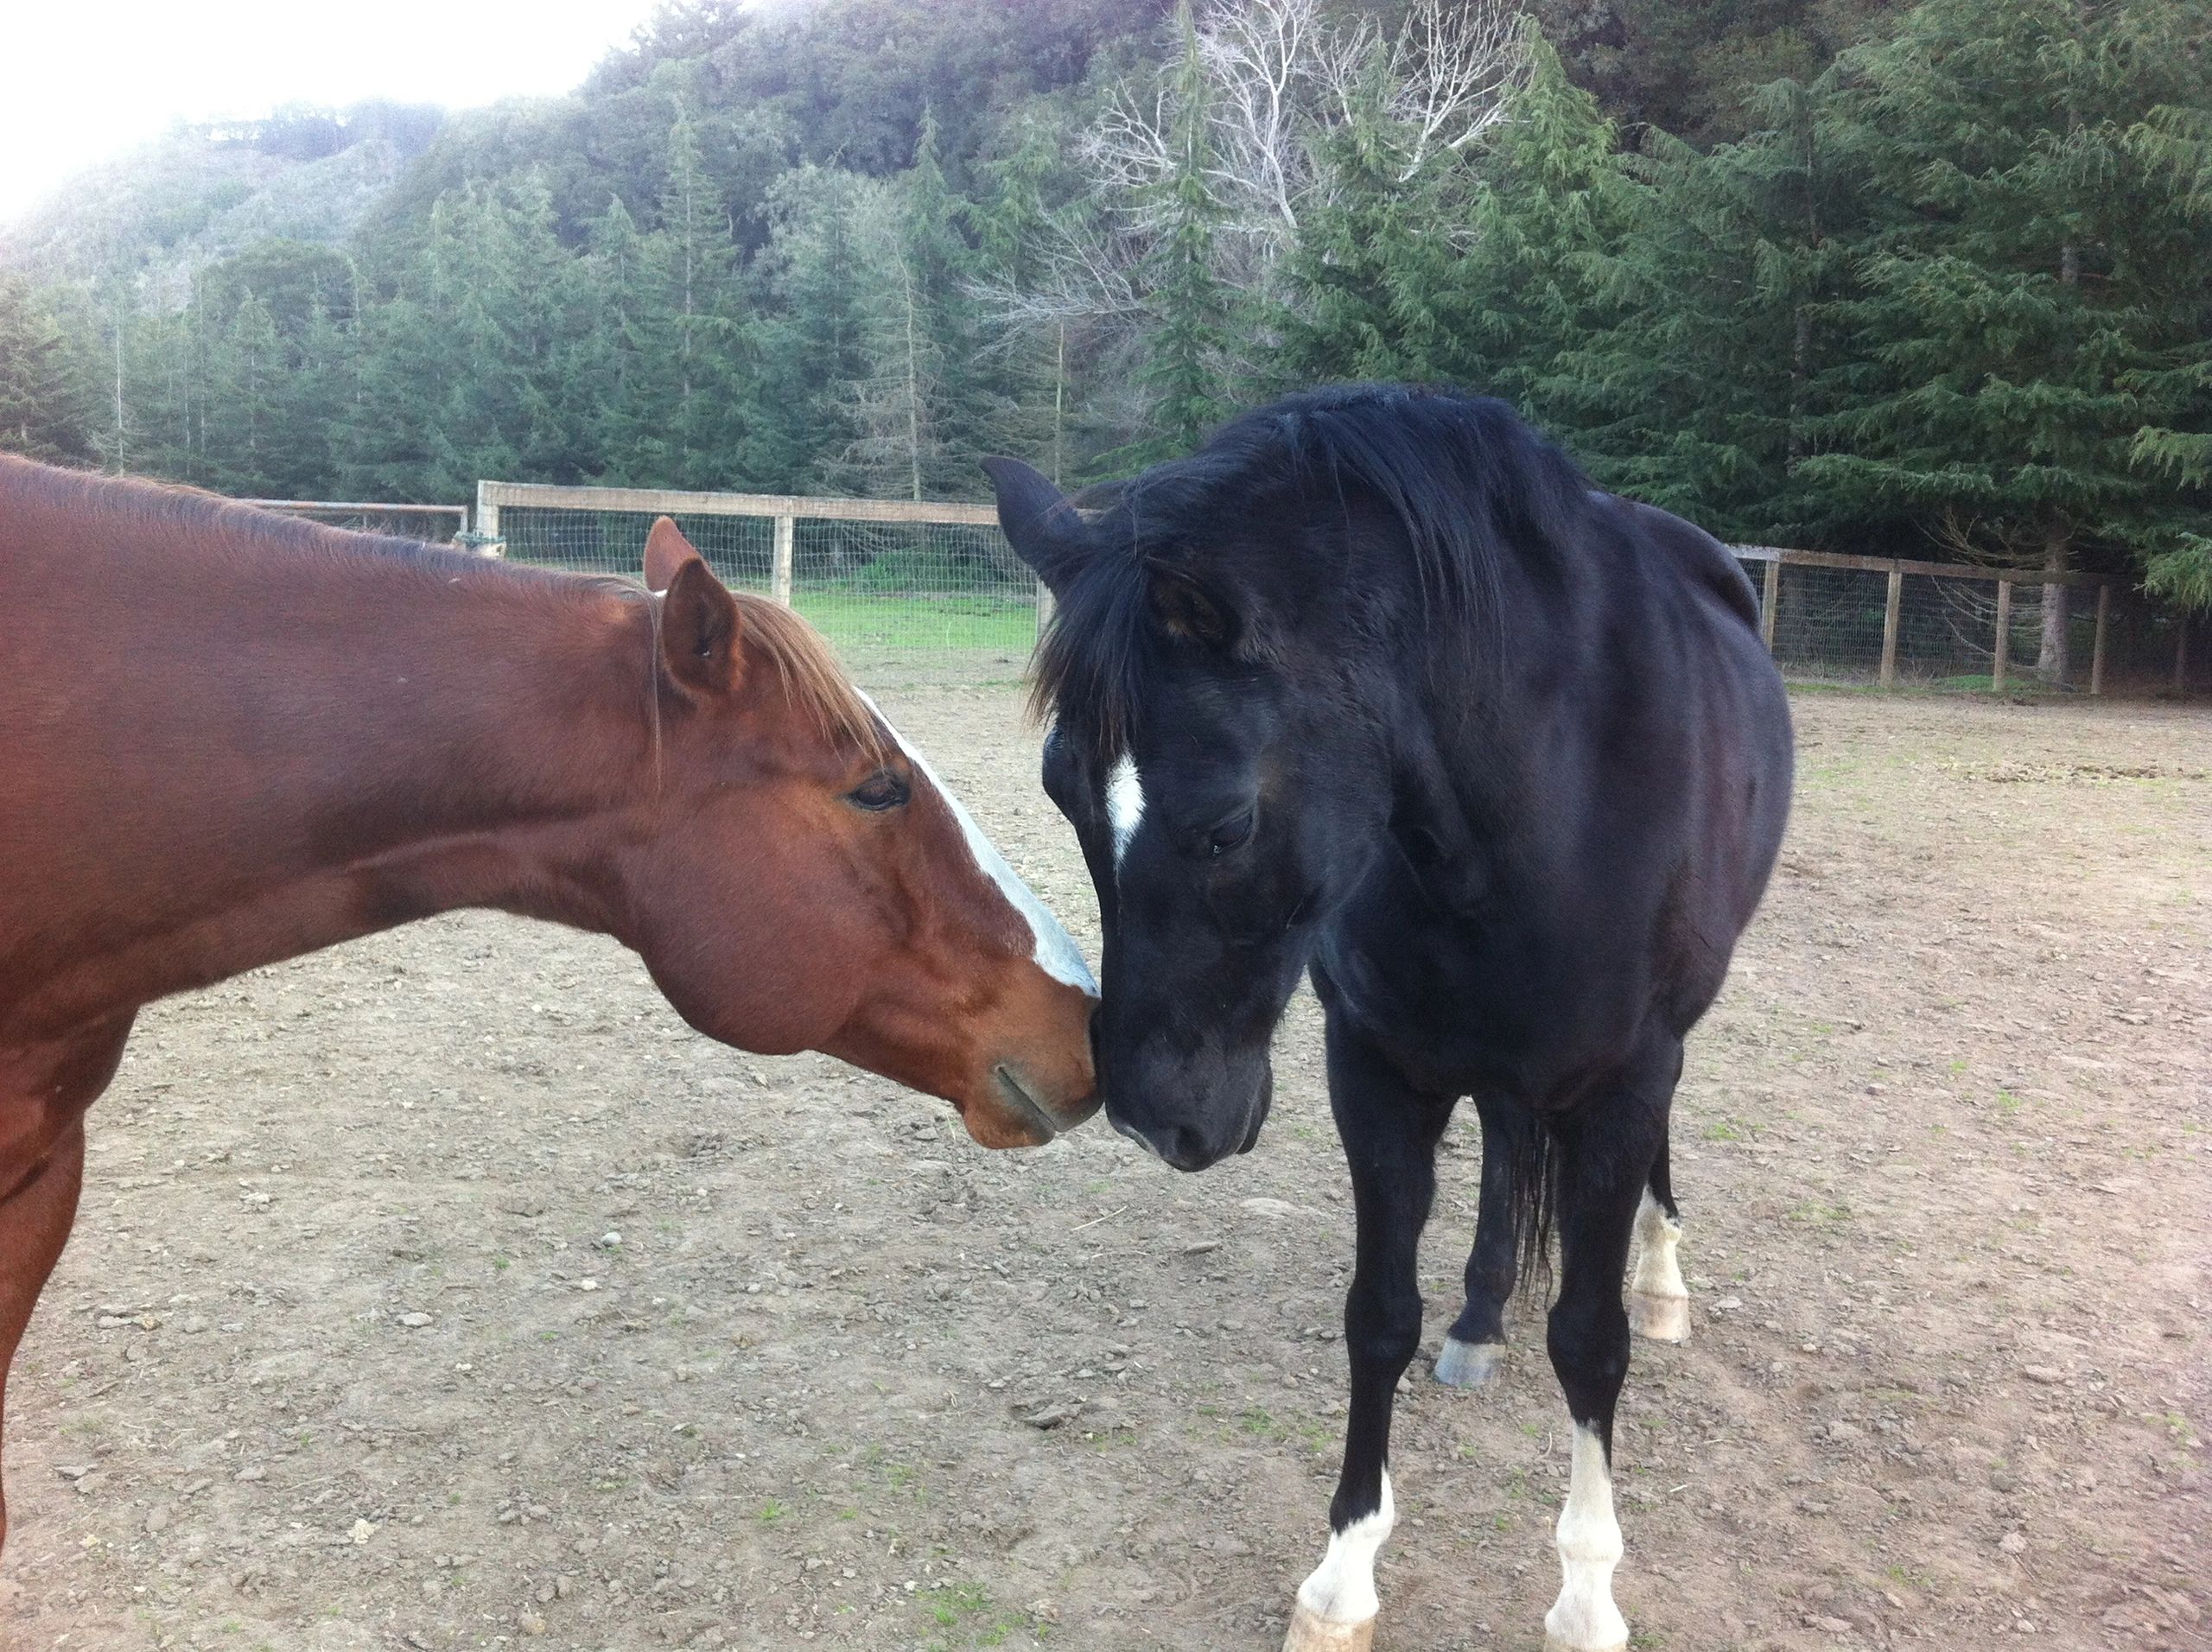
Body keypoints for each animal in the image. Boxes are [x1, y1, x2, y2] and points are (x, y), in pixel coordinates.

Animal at [985, 383, 1793, 1652]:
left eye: (1223, 823)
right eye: (1061, 792)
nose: (1154, 1119)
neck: (1546, 790)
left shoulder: (1623, 1080)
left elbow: (1590, 1340)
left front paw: (1586, 1594)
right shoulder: (1375, 1068)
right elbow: (1378, 1313)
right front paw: (1342, 1577)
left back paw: (1662, 1274)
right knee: (1506, 1144)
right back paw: (1481, 1316)